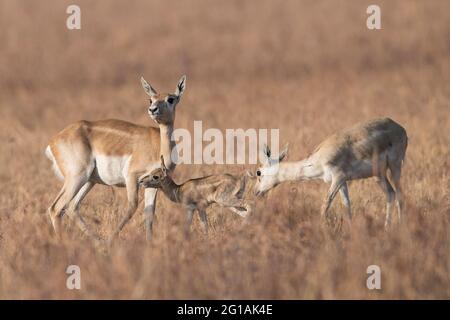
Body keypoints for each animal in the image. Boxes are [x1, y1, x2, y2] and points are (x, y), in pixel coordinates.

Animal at [45, 74, 186, 240]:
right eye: (150, 99)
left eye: (170, 99)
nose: (152, 110)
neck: (159, 147)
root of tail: (54, 141)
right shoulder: (132, 177)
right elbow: (132, 207)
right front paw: (111, 240)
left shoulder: (154, 183)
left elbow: (149, 214)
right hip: (78, 177)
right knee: (56, 208)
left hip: (89, 181)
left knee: (71, 207)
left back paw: (96, 242)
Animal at [253, 117, 408, 228]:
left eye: (258, 172)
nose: (256, 192)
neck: (319, 160)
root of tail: (400, 128)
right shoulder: (343, 182)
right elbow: (347, 206)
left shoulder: (338, 178)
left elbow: (325, 204)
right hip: (379, 175)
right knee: (391, 194)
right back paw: (387, 228)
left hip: (395, 167)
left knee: (400, 195)